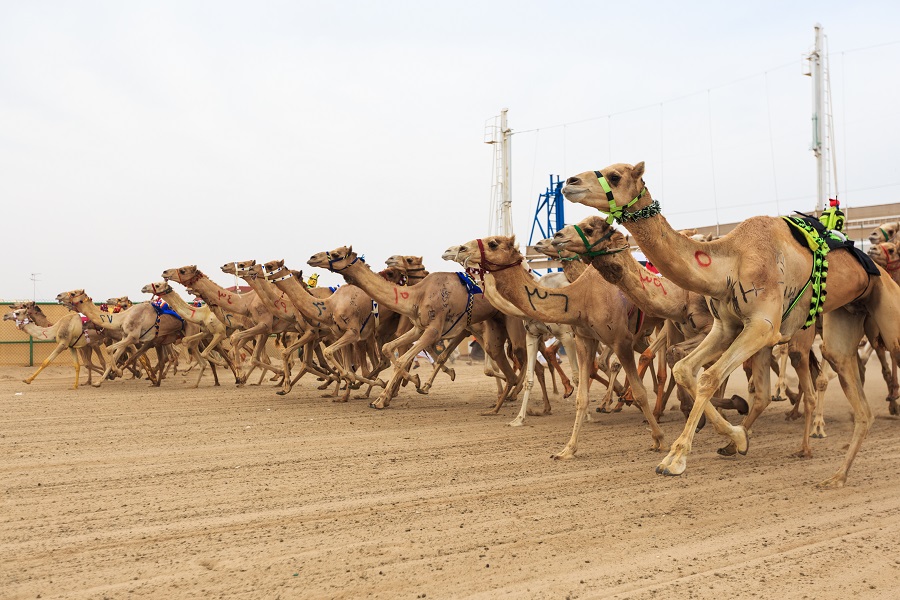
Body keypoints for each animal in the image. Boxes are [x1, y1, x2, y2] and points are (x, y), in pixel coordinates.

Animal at [442, 236, 660, 460]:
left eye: (493, 243)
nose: (457, 249)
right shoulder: (534, 335)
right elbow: (531, 376)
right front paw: (519, 418)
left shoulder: (569, 335)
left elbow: (576, 374)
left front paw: (588, 414)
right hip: (637, 333)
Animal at [560, 161, 896, 488]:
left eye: (615, 175)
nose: (569, 182)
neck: (729, 263)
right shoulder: (726, 327)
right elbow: (684, 369)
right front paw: (737, 437)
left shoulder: (762, 327)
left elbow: (708, 377)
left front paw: (675, 459)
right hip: (843, 321)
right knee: (833, 388)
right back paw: (835, 473)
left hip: (864, 319)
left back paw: (811, 442)